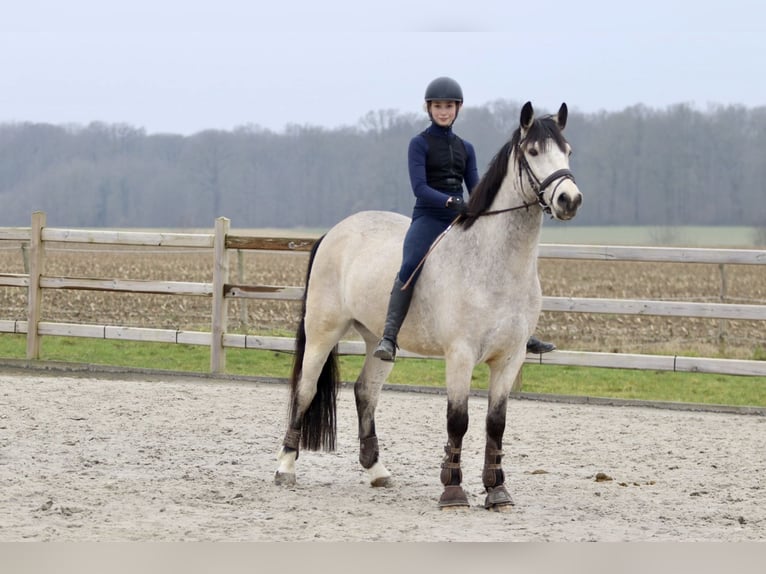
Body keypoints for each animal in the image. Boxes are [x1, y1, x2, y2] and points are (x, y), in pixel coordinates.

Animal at [274, 101, 584, 510]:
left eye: (568, 151)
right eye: (533, 151)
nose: (569, 200)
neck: (495, 263)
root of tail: (334, 232)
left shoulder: (510, 358)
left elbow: (496, 424)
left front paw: (497, 490)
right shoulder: (461, 355)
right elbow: (458, 420)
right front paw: (453, 490)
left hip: (378, 339)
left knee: (365, 391)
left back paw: (377, 470)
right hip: (322, 333)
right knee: (305, 391)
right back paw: (285, 468)